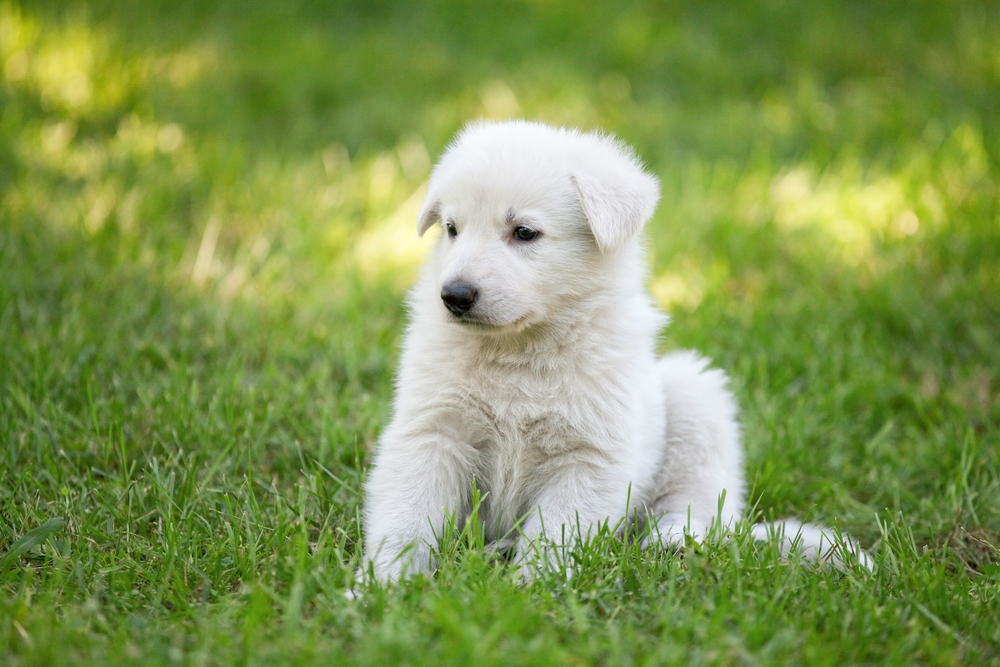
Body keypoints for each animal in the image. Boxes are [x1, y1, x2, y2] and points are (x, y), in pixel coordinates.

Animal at [362, 121, 868, 584]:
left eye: (524, 232)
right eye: (452, 229)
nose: (454, 295)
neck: (519, 350)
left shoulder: (589, 456)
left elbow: (554, 535)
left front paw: (531, 593)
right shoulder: (432, 434)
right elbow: (405, 517)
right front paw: (380, 588)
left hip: (695, 400)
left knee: (697, 505)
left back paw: (669, 543)